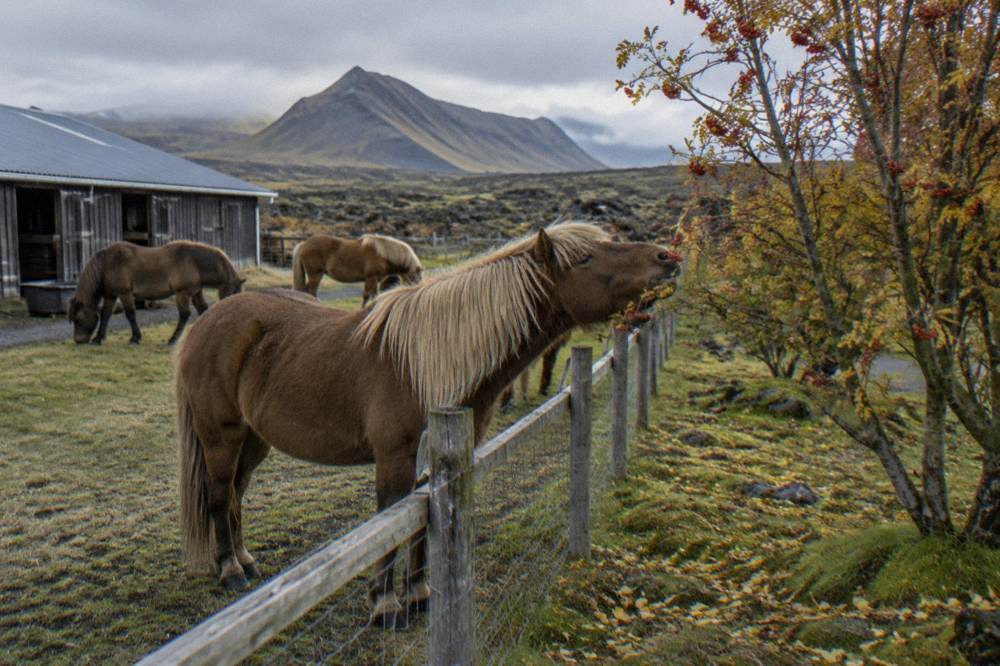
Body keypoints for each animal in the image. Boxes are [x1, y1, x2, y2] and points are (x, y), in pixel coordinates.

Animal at [67, 241, 244, 346]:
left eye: (77, 318)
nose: (78, 340)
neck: (107, 264)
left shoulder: (125, 294)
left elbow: (130, 315)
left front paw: (135, 338)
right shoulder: (111, 295)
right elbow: (105, 315)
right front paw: (98, 338)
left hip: (182, 294)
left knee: (184, 314)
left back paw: (173, 339)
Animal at [291, 234, 423, 305]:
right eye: (415, 279)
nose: (415, 296)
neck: (383, 254)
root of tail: (303, 244)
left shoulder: (369, 280)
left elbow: (366, 296)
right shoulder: (372, 278)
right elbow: (374, 296)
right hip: (315, 275)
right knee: (311, 291)